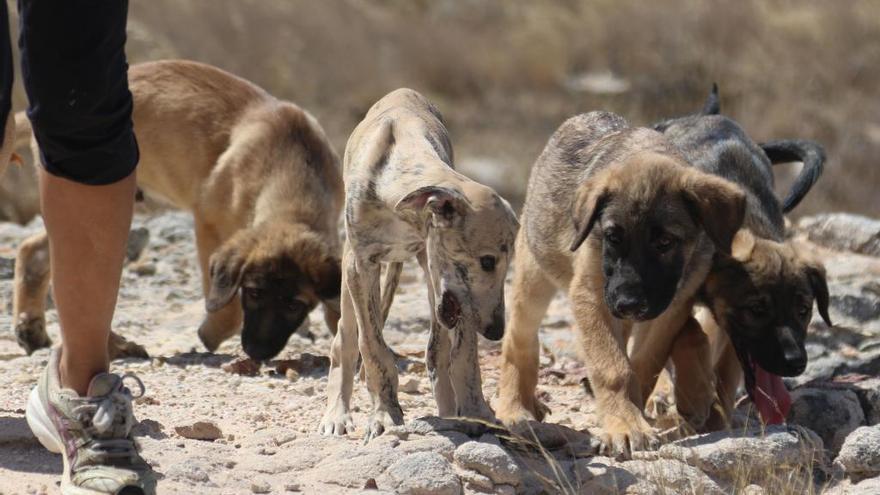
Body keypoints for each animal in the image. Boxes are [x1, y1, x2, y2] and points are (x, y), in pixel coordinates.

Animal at [13, 61, 346, 364]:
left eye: (294, 306)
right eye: (253, 293)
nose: (257, 352)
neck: (294, 165)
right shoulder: (209, 224)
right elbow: (225, 306)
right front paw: (211, 333)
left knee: (36, 251)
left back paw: (32, 327)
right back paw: (113, 346)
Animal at [320, 89, 520, 442]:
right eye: (487, 261)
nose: (496, 331)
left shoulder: (439, 273)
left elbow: (461, 355)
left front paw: (476, 412)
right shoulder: (362, 265)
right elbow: (373, 347)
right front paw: (385, 413)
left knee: (437, 351)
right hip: (350, 270)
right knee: (344, 337)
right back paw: (337, 414)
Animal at [496, 110, 744, 460]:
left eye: (665, 242)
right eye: (613, 237)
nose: (628, 304)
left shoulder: (670, 308)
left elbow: (643, 364)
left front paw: (632, 414)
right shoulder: (593, 296)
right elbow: (612, 367)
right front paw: (625, 424)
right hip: (534, 275)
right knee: (519, 340)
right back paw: (515, 407)